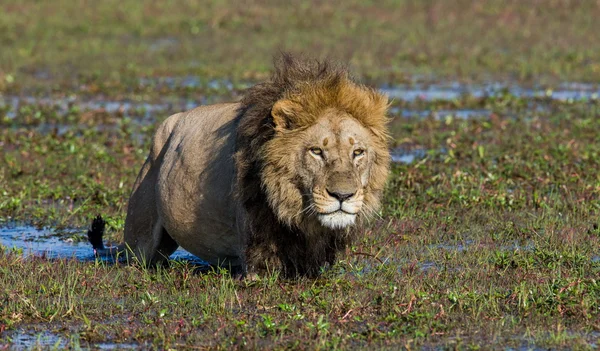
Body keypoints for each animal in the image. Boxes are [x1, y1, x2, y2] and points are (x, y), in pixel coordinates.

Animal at [88, 53, 390, 278]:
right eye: (316, 151)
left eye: (358, 153)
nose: (343, 195)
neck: (297, 213)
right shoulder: (256, 261)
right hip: (140, 240)